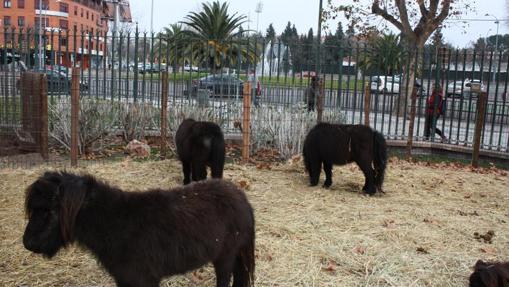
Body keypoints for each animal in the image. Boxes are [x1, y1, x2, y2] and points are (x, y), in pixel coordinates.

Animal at [22, 172, 254, 286]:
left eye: (49, 210)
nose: (28, 243)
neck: (114, 224)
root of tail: (241, 197)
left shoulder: (142, 278)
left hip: (225, 255)